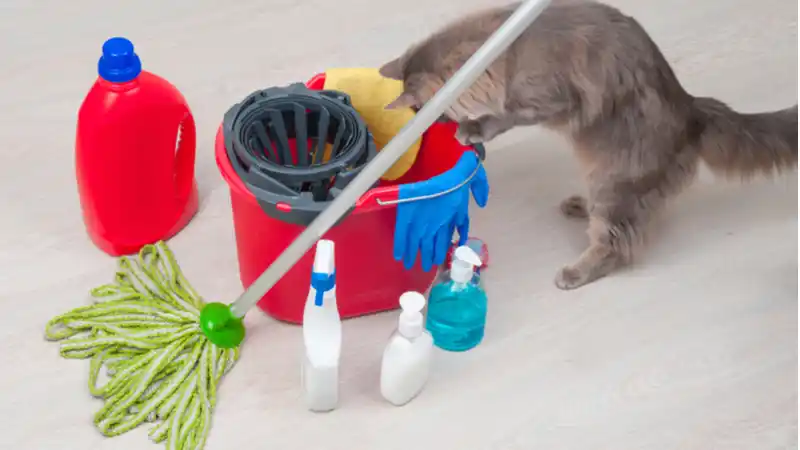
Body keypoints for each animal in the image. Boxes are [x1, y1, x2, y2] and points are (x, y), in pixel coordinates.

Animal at [378, 0, 796, 292]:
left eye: (425, 110)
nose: (425, 126)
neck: (503, 49)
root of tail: (692, 109)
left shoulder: (548, 98)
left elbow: (504, 116)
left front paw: (474, 128)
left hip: (617, 185)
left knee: (617, 243)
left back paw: (574, 272)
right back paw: (578, 205)